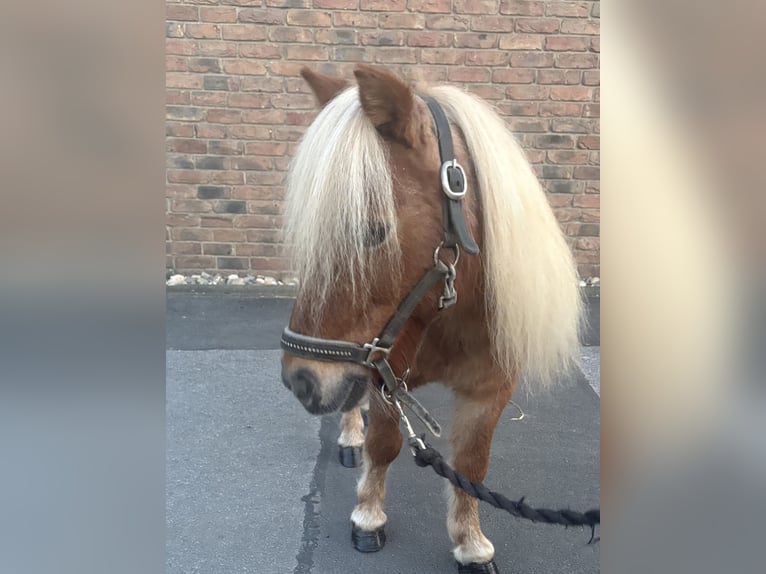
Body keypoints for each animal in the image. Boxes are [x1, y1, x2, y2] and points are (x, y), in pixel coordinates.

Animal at [280, 65, 583, 574]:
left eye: (373, 231)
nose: (300, 379)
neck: (451, 313)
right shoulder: (384, 378)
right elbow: (383, 446)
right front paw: (368, 517)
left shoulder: (490, 391)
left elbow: (472, 465)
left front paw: (470, 543)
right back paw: (350, 437)